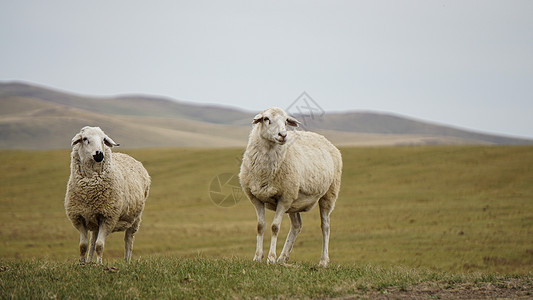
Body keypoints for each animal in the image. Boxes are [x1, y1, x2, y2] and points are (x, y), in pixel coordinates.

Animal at [66, 127, 152, 264]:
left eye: (103, 139)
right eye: (84, 139)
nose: (99, 154)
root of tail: (125, 154)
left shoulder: (108, 218)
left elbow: (99, 245)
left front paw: (99, 263)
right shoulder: (79, 217)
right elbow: (83, 245)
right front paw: (82, 263)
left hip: (135, 218)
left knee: (128, 240)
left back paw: (126, 261)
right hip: (94, 218)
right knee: (92, 239)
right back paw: (89, 261)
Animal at [240, 106, 342, 266]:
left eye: (286, 121)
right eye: (266, 119)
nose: (283, 135)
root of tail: (324, 139)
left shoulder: (284, 198)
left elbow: (275, 227)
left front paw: (271, 258)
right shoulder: (256, 198)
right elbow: (260, 226)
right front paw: (257, 257)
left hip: (328, 194)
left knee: (325, 226)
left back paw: (323, 261)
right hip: (294, 198)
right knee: (296, 225)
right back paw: (283, 257)